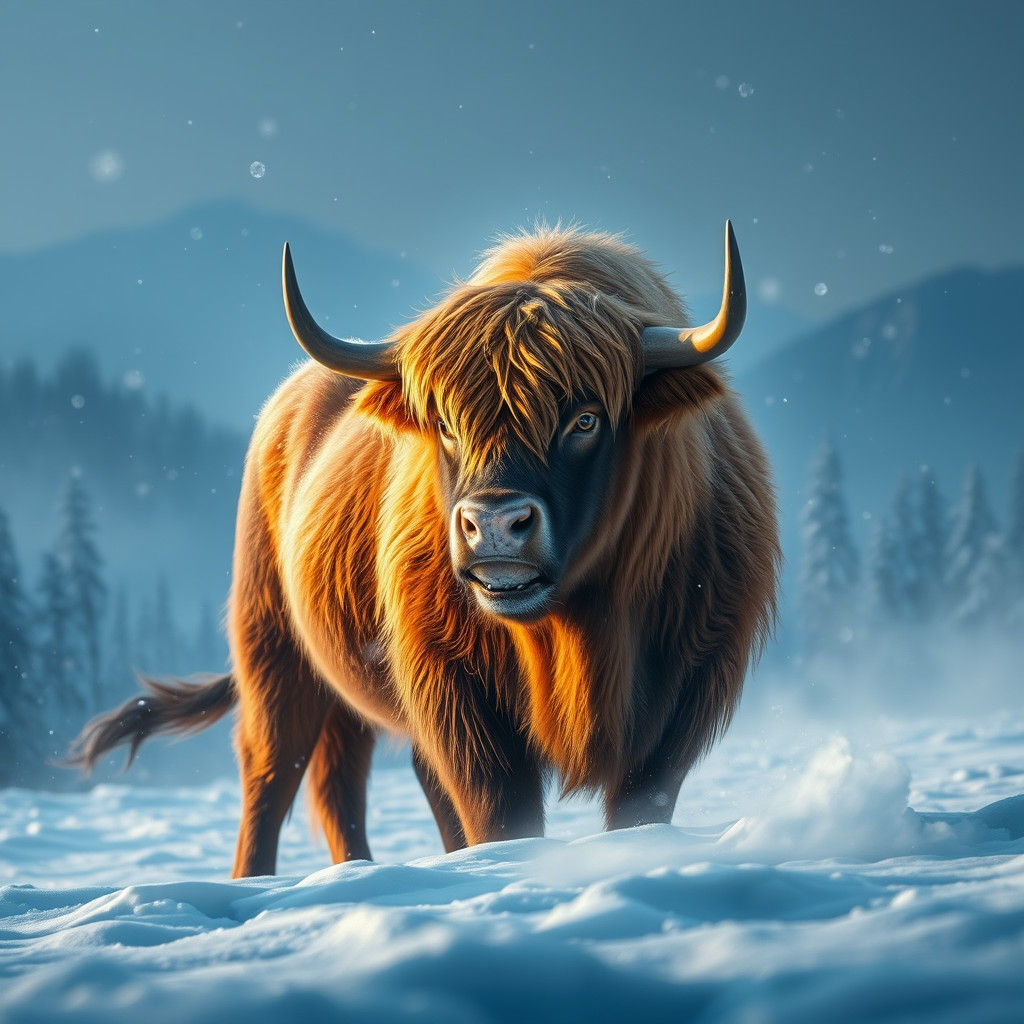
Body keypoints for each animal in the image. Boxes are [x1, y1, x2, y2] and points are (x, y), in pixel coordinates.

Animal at [70, 222, 780, 878]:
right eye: (444, 421)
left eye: (585, 419)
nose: (493, 524)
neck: (572, 632)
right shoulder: (460, 695)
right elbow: (499, 809)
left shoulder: (682, 694)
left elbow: (637, 807)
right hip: (275, 652)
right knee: (275, 775)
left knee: (346, 778)